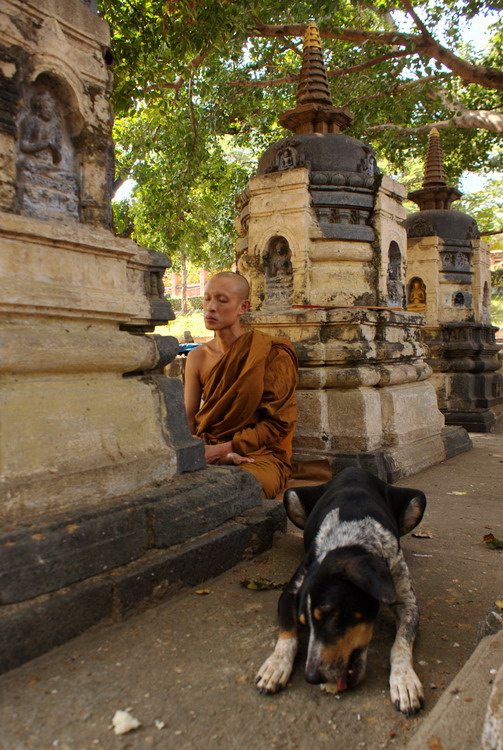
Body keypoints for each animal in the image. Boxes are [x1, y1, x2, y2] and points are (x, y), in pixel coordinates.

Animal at [258, 468, 428, 720]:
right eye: (304, 622)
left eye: (331, 615)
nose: (311, 677)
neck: (348, 542)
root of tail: (354, 469)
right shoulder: (290, 592)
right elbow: (287, 631)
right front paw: (276, 665)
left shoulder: (407, 602)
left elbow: (401, 643)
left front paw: (404, 681)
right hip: (290, 495)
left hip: (418, 499)